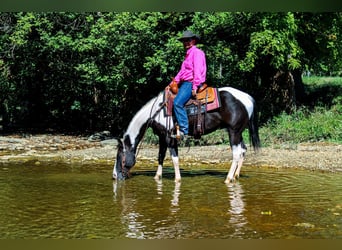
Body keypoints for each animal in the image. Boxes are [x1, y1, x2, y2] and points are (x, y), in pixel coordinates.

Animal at [112, 86, 260, 184]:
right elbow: (160, 156)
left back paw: (228, 179)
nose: (114, 176)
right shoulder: (162, 137)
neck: (157, 112)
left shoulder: (170, 138)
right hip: (238, 132)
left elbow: (174, 158)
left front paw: (177, 179)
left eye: (120, 156)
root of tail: (247, 98)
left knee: (236, 153)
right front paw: (157, 177)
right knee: (243, 150)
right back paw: (236, 176)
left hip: (233, 132)